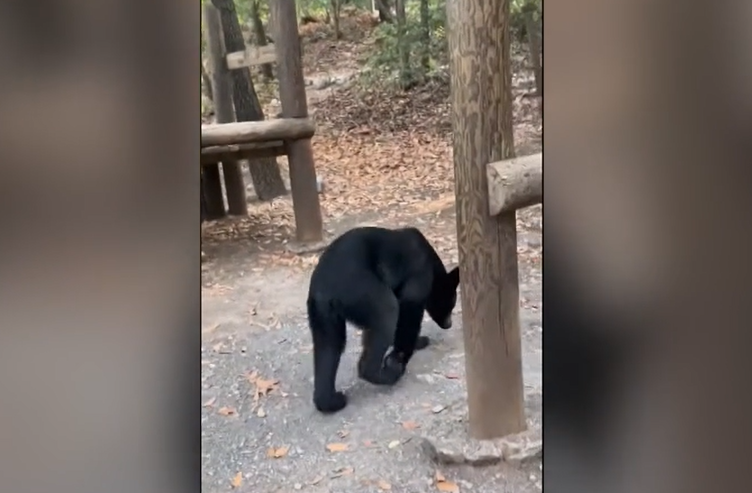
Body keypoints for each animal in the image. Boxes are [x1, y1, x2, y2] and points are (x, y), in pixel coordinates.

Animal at [306, 226, 461, 413]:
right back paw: (389, 373)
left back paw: (329, 401)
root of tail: (325, 289)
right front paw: (402, 355)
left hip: (323, 315)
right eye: (451, 303)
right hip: (362, 289)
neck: (432, 264)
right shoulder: (419, 276)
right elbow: (409, 312)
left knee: (328, 347)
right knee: (386, 313)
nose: (449, 324)